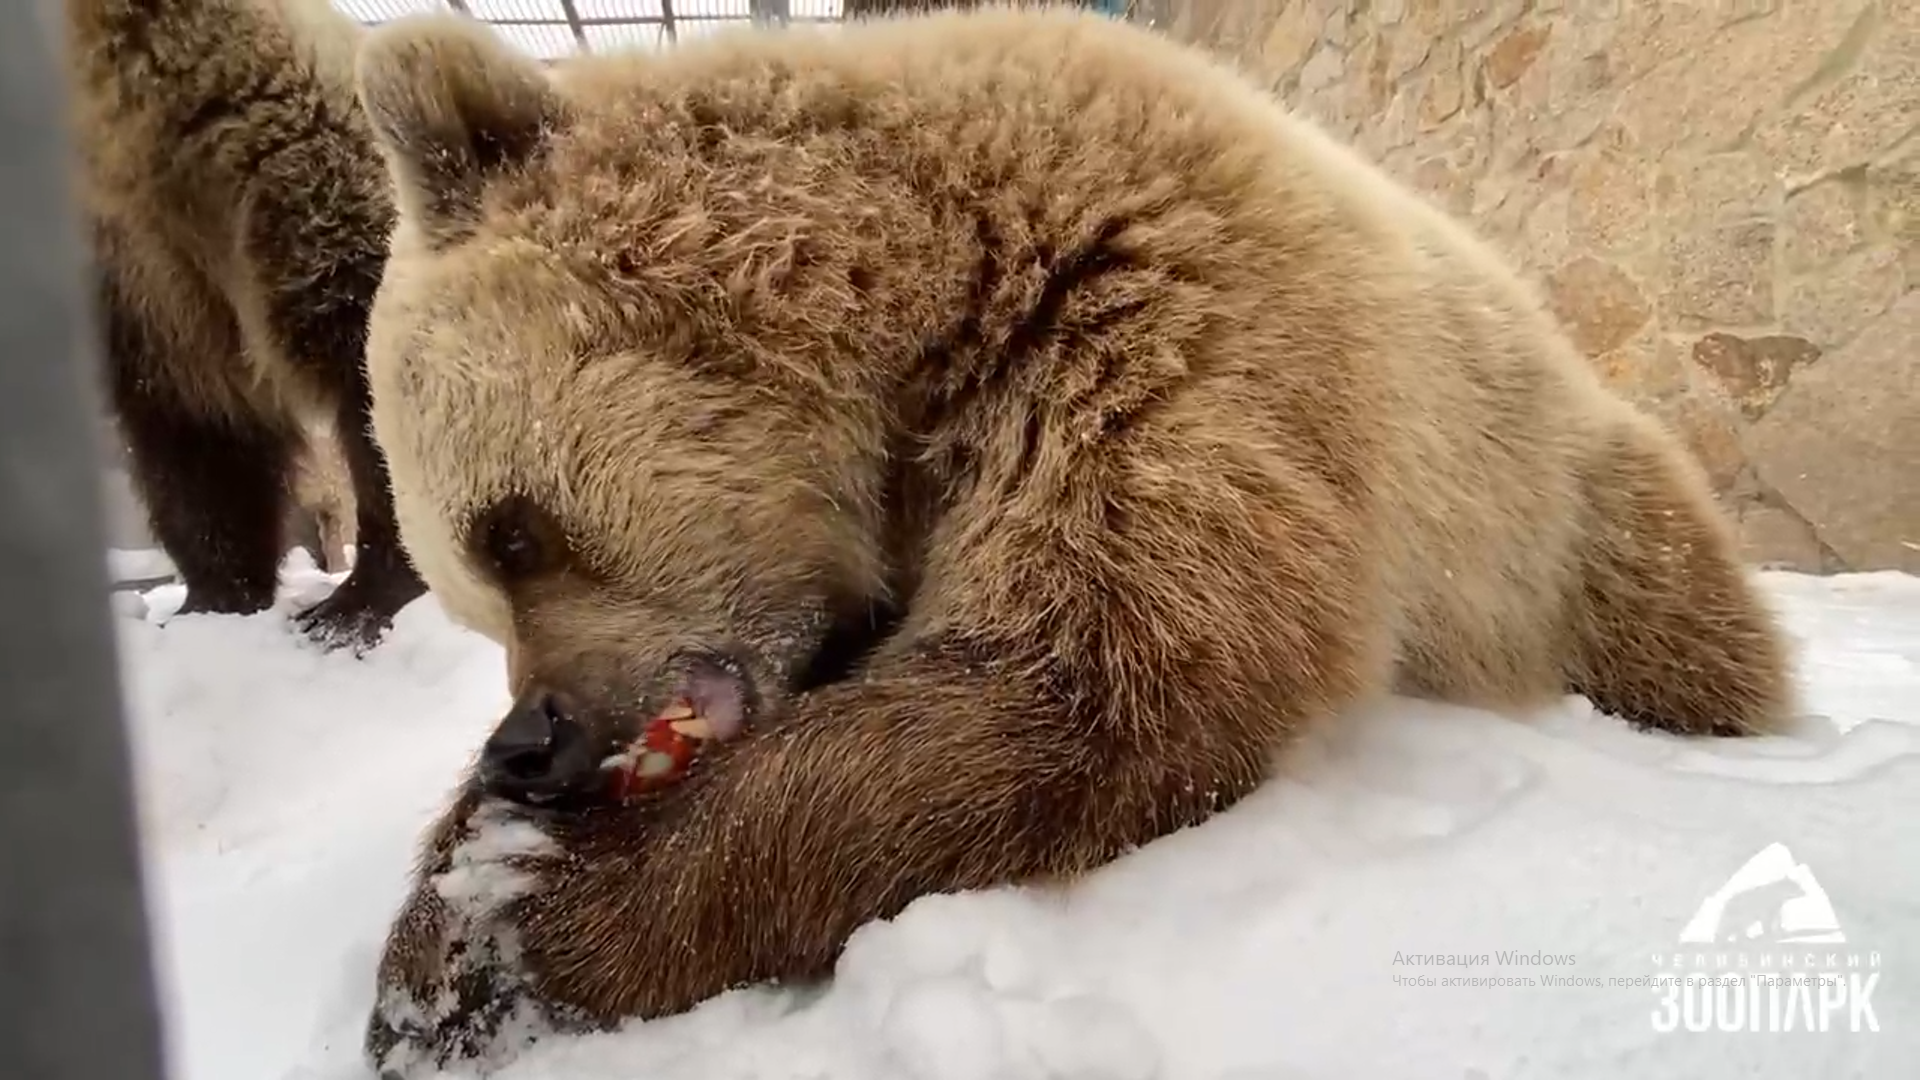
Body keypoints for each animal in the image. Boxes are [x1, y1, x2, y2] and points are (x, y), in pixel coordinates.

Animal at [349, 6, 1797, 1068]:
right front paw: (460, 879)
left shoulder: (1155, 335)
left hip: (1552, 506)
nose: (531, 743)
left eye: (513, 532)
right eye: (467, 593)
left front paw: (499, 932)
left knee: (1674, 614)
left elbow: (1086, 688)